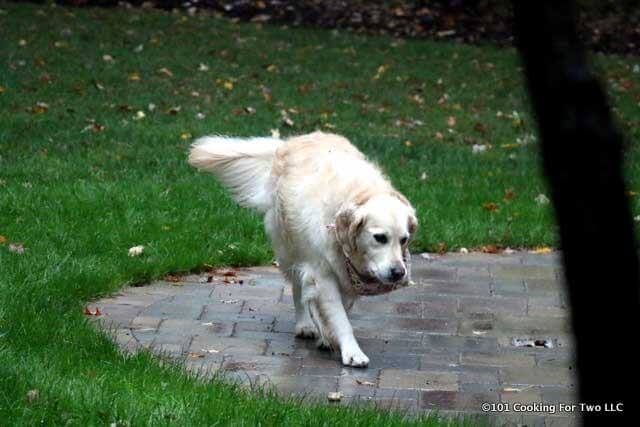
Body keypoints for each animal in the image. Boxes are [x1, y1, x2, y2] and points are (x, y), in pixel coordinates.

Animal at [189, 131, 420, 368]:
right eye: (380, 238)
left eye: (404, 240)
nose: (398, 272)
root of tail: (291, 140)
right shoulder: (322, 274)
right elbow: (339, 317)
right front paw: (351, 351)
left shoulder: (345, 278)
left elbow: (341, 310)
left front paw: (329, 336)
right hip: (290, 250)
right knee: (297, 289)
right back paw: (305, 325)